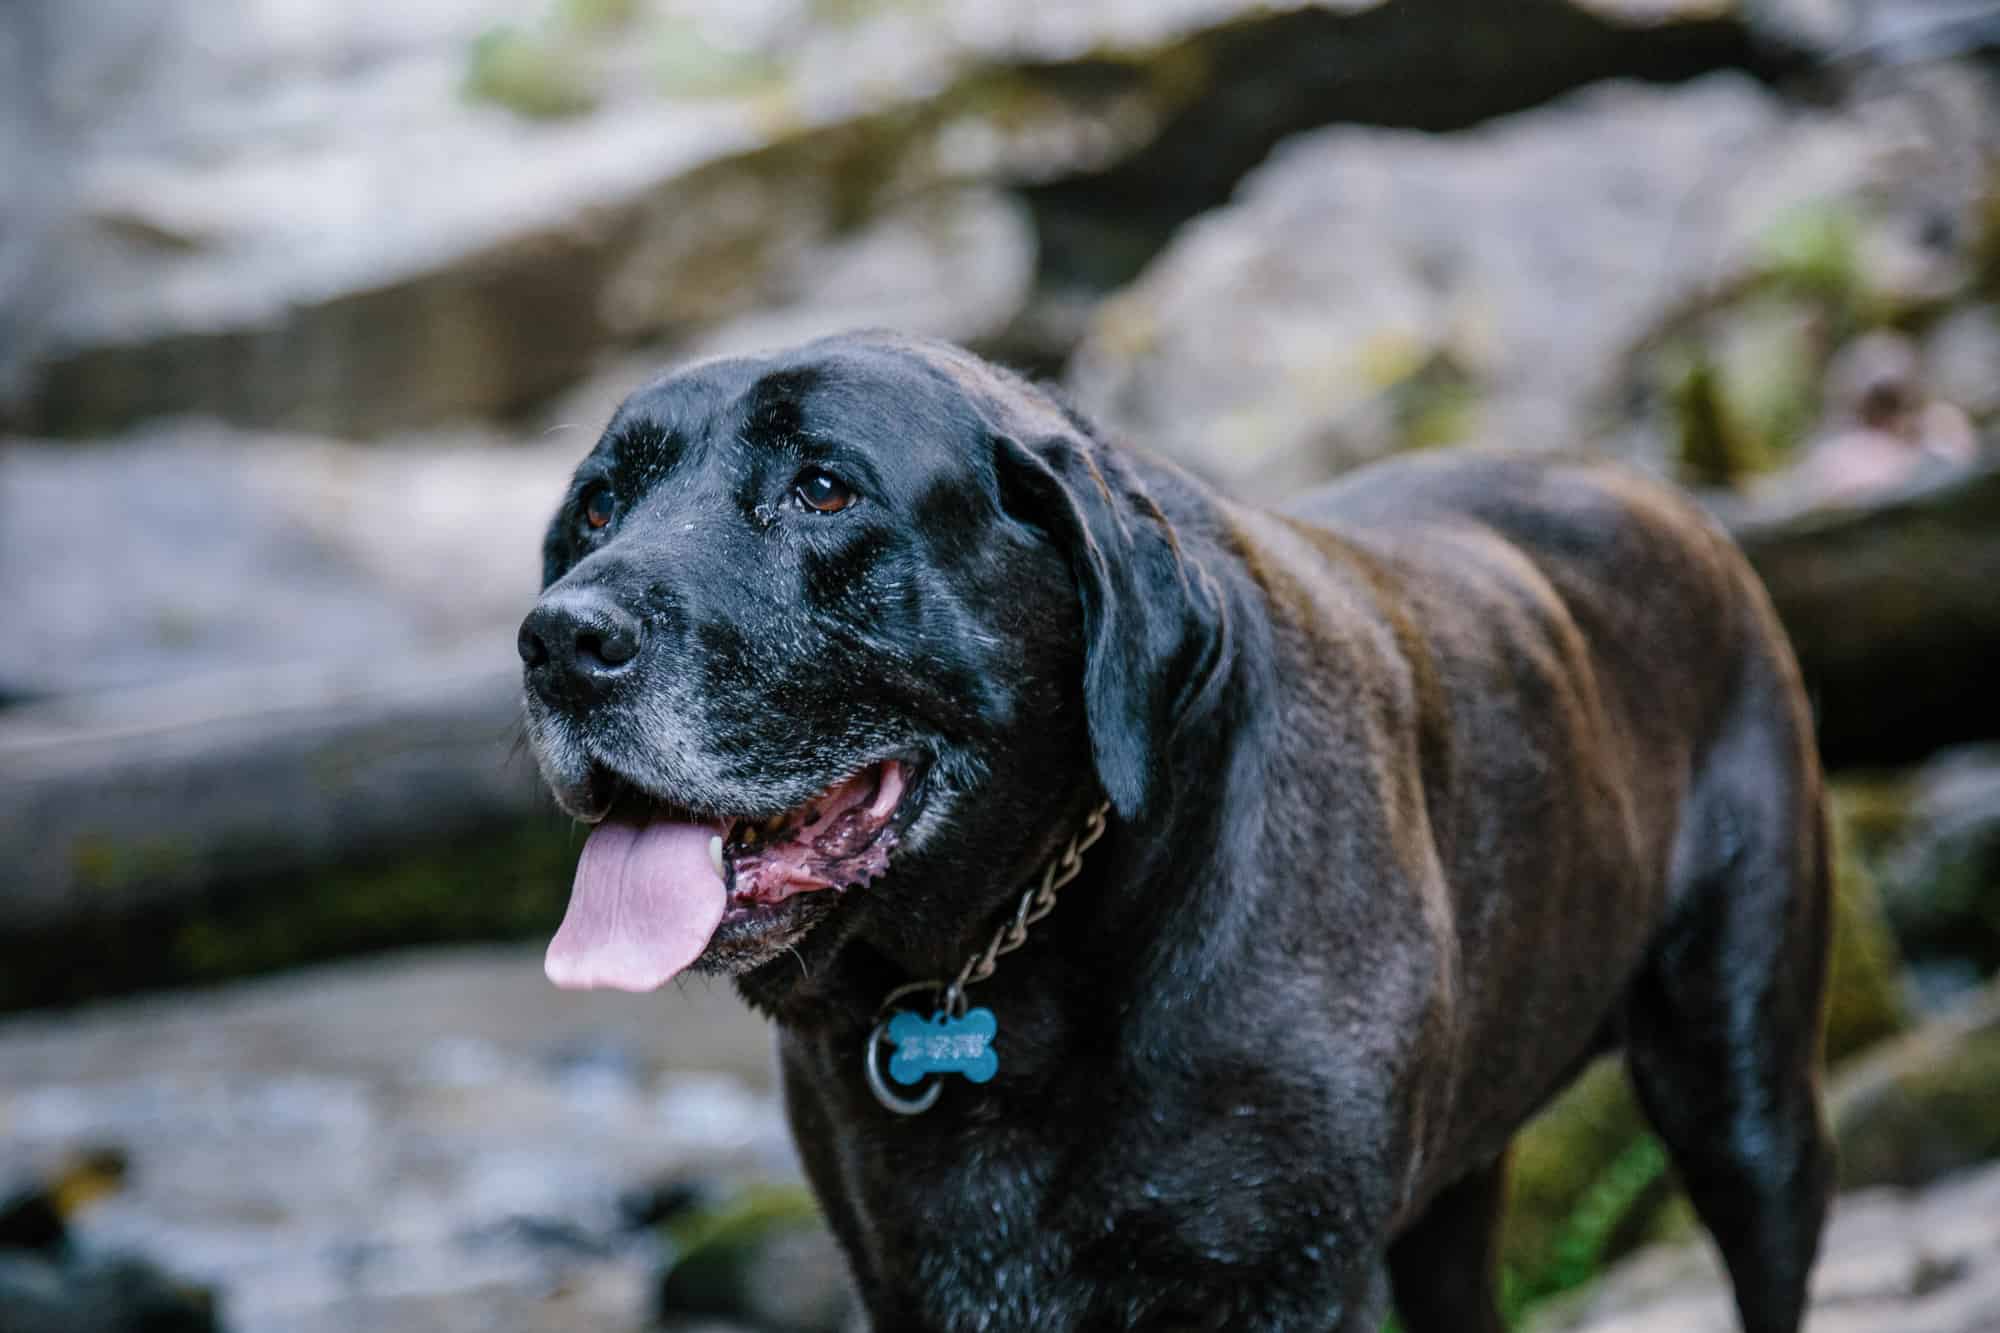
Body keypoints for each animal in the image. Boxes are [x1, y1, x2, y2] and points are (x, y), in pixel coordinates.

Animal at [516, 332, 1832, 1328]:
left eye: (823, 488)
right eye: (595, 507)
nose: (556, 640)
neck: (1012, 966)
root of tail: (1657, 491)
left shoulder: (1286, 1282)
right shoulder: (908, 1280)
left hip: (1741, 1098)